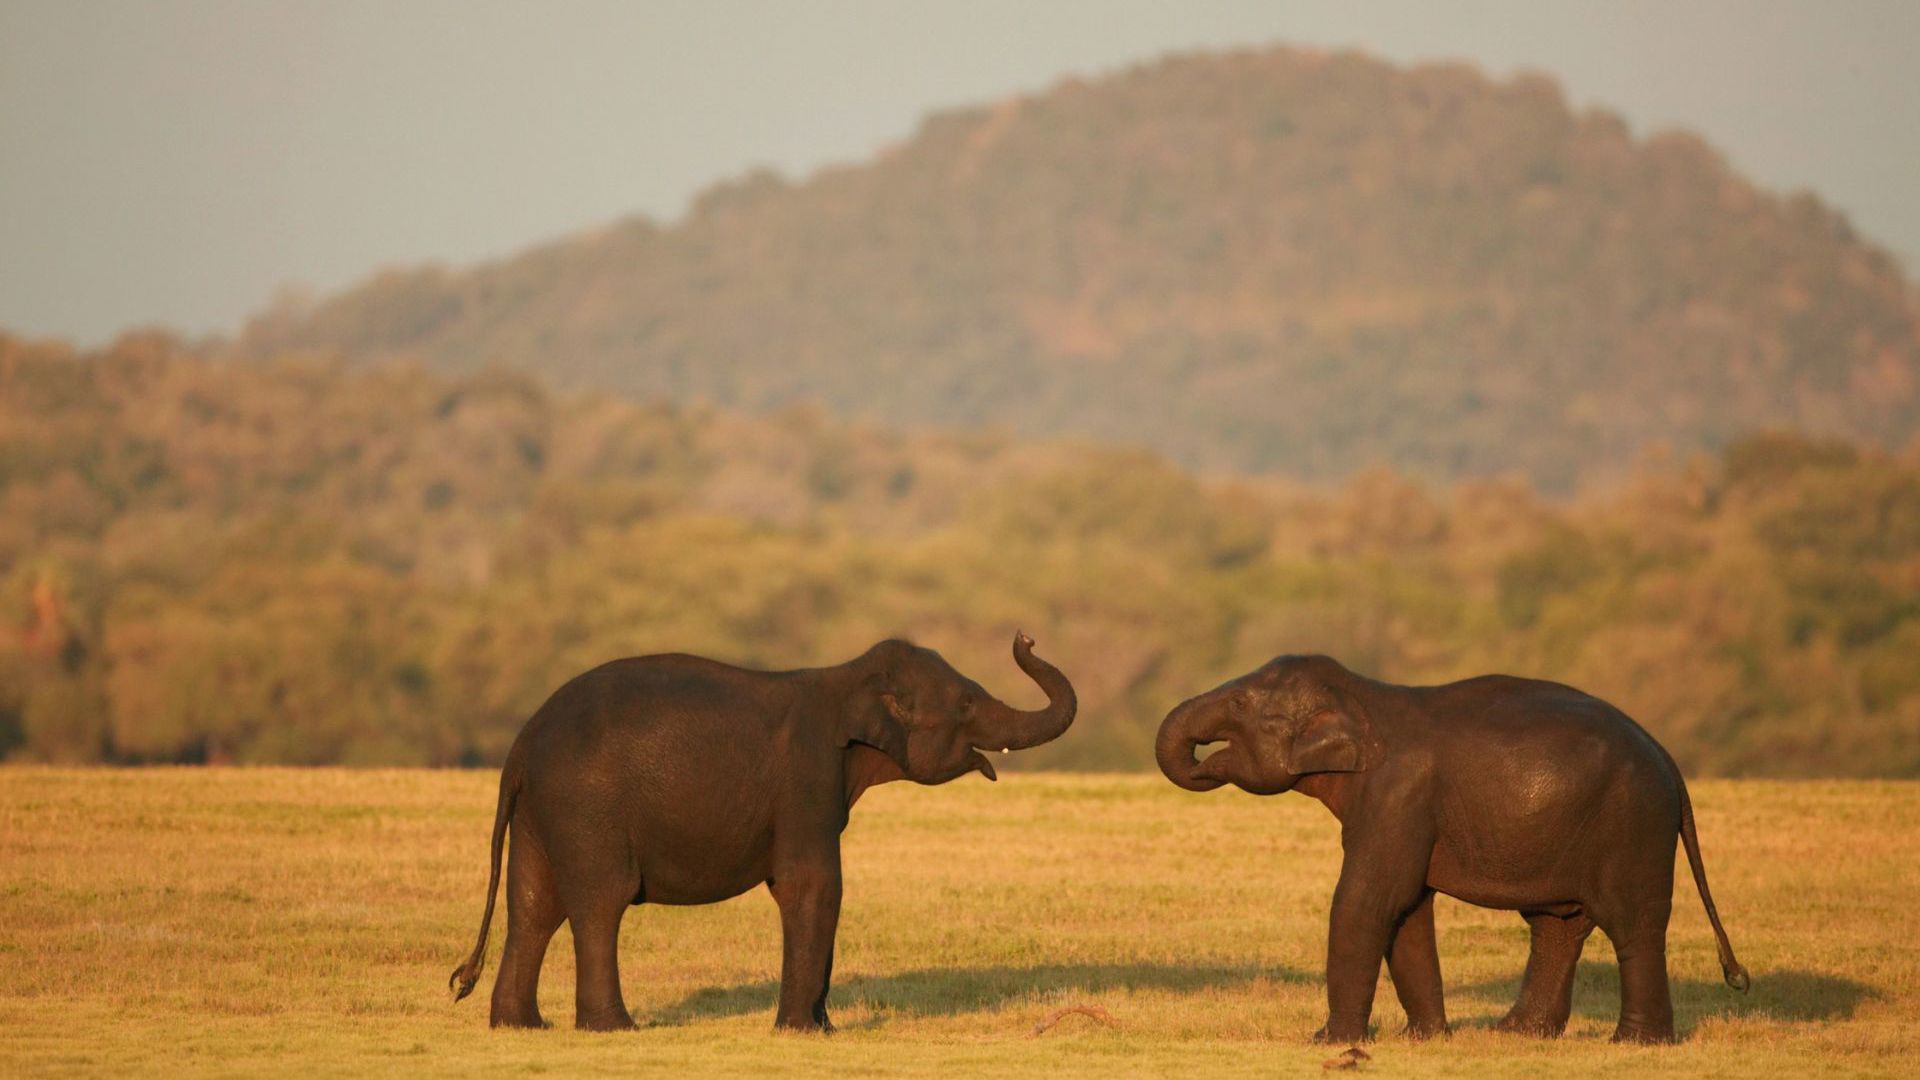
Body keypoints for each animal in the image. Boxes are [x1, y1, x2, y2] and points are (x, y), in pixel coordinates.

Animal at [448, 632, 1075, 1032]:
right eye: (966, 701)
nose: (1026, 638)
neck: (846, 677)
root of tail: (520, 747)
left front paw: (825, 1028)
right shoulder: (808, 779)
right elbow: (813, 886)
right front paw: (803, 1032)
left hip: (541, 813)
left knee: (534, 905)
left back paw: (520, 1027)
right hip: (587, 808)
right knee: (600, 903)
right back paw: (614, 1029)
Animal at [1155, 654, 1748, 1044]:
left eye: (1238, 702)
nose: (1204, 759)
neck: (1363, 697)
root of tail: (1668, 758)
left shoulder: (1399, 793)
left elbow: (1369, 902)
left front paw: (1328, 1041)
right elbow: (1408, 911)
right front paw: (1424, 1038)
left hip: (1632, 825)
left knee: (1632, 926)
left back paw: (1634, 1043)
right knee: (1557, 926)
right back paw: (1515, 1034)